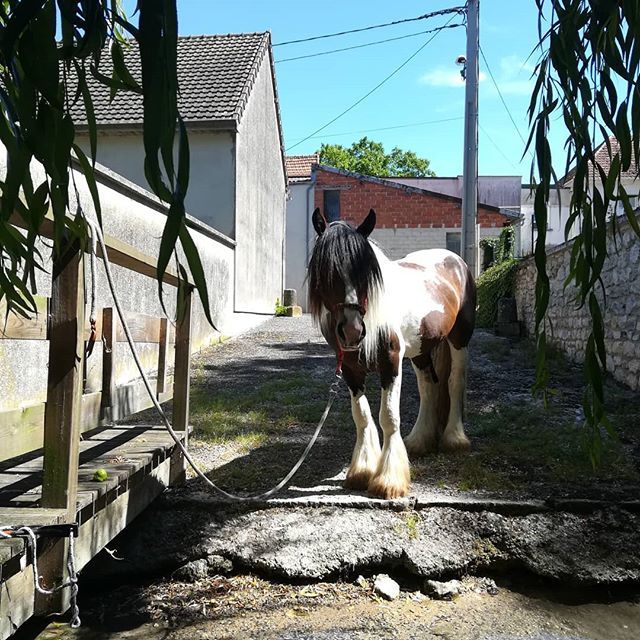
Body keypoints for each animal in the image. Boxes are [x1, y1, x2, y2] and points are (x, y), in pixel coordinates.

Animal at [308, 208, 476, 499]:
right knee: (428, 387)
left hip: (459, 340)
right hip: (421, 349)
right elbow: (362, 416)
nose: (352, 331)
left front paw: (388, 480)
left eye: (366, 271)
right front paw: (362, 470)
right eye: (326, 270)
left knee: (455, 383)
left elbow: (388, 417)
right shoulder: (350, 370)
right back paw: (419, 441)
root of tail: (456, 261)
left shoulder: (391, 363)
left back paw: (454, 439)